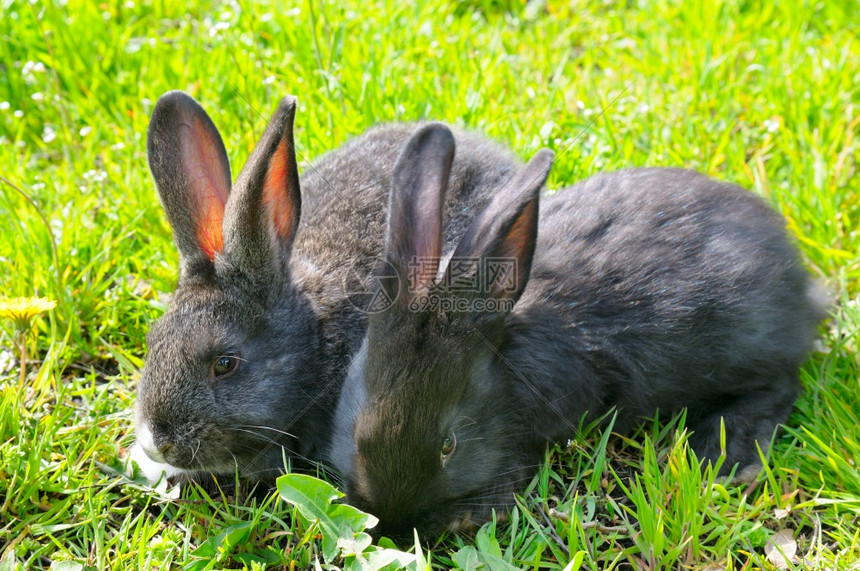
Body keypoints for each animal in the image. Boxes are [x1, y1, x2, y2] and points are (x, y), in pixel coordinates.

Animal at [330, 147, 828, 540]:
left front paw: (469, 513)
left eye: (449, 446)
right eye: (355, 430)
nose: (393, 526)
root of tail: (802, 283)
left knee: (781, 385)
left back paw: (719, 455)